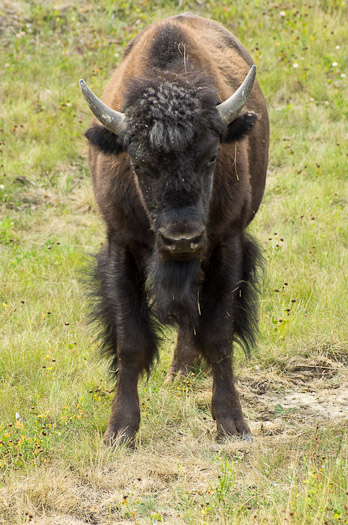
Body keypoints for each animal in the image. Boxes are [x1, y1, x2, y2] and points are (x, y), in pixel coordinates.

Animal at [81, 14, 270, 444]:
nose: (181, 238)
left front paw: (232, 424)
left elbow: (218, 335)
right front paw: (120, 431)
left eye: (212, 156)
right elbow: (130, 342)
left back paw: (184, 370)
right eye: (138, 163)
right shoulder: (121, 244)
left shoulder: (226, 244)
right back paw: (179, 373)